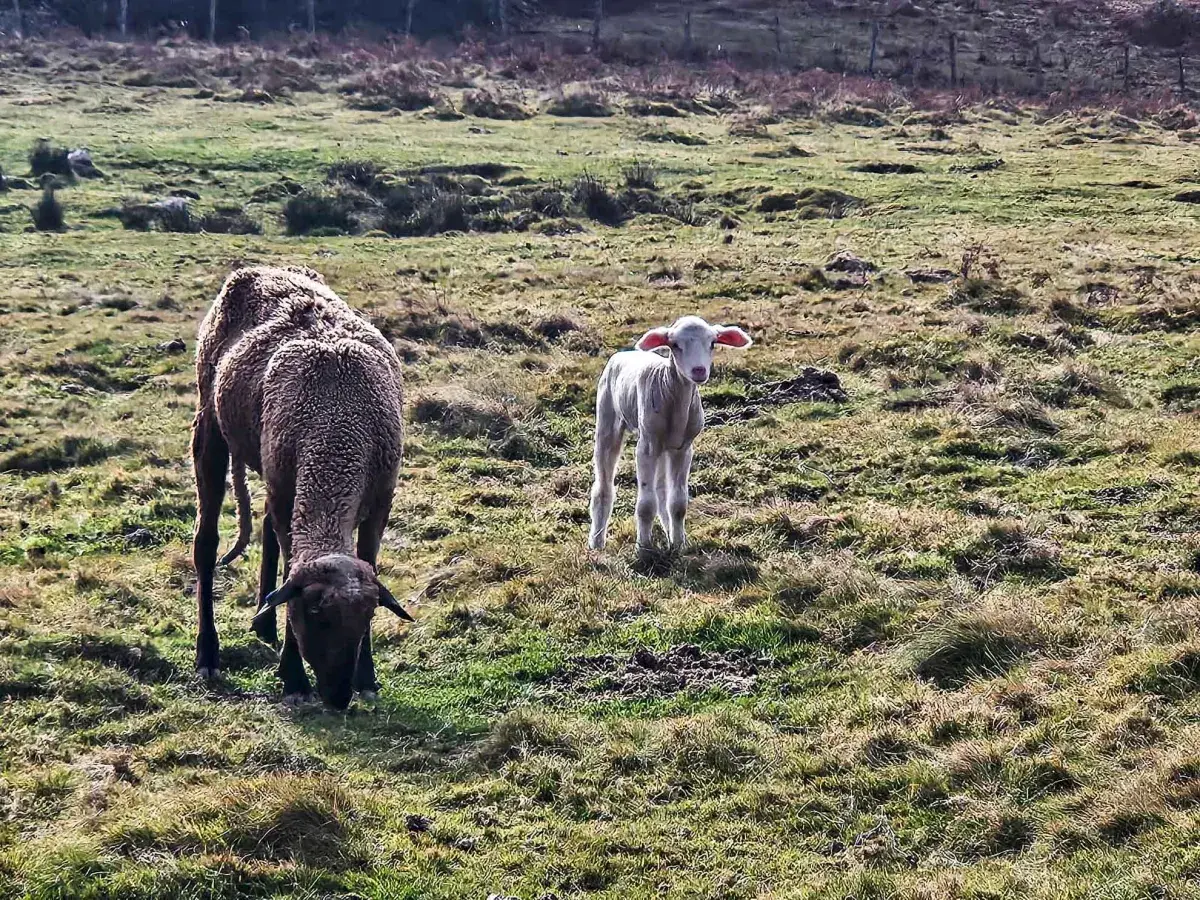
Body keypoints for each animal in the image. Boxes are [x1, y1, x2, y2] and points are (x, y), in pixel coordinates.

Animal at [192, 265, 412, 709]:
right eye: (315, 616)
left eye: (367, 617)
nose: (338, 698)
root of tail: (259, 268)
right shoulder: (288, 491)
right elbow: (288, 573)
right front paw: (293, 677)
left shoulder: (380, 502)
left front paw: (367, 677)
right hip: (210, 426)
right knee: (205, 544)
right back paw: (208, 655)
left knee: (264, 527)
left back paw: (264, 623)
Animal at [588, 315, 753, 552]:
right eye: (675, 345)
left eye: (713, 343)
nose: (699, 370)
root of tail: (624, 353)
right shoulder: (647, 446)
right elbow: (646, 504)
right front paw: (644, 548)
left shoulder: (683, 448)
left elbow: (677, 503)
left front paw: (678, 544)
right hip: (608, 420)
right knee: (603, 486)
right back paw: (597, 541)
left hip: (665, 446)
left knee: (662, 491)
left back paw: (668, 533)